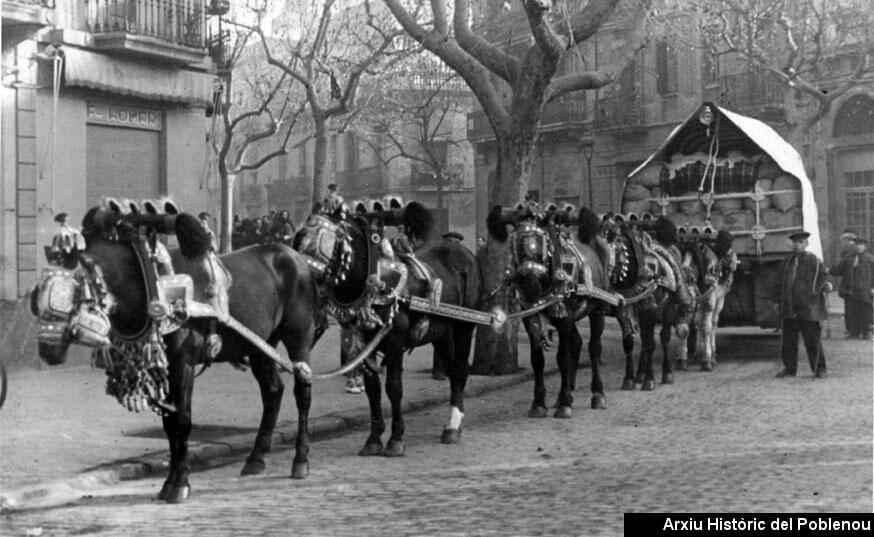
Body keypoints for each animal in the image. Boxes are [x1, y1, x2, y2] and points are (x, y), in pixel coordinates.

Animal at [31, 205, 316, 502]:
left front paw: (180, 484)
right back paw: (255, 458)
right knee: (272, 391)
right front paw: (169, 481)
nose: (47, 351)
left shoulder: (183, 361)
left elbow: (182, 420)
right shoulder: (166, 366)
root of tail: (295, 256)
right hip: (260, 344)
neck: (150, 283)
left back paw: (300, 460)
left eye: (72, 296)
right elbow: (169, 423)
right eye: (36, 297)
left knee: (302, 391)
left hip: (299, 337)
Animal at [296, 201, 480, 456]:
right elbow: (373, 389)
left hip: (464, 326)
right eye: (299, 238)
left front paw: (395, 439)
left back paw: (452, 426)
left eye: (324, 242)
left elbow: (394, 388)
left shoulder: (394, 341)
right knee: (453, 370)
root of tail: (463, 251)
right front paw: (374, 439)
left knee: (461, 370)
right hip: (441, 333)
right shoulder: (362, 342)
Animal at [484, 203, 648, 416]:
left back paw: (598, 393)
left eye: (540, 242)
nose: (530, 286)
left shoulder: (567, 318)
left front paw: (564, 404)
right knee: (578, 343)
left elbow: (563, 357)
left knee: (595, 347)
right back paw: (569, 390)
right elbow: (537, 360)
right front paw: (539, 403)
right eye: (516, 245)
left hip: (598, 309)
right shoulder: (532, 317)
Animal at [676, 229, 736, 372]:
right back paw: (698, 353)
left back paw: (712, 354)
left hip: (720, 299)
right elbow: (685, 328)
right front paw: (682, 360)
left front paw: (707, 361)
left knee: (712, 323)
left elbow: (707, 328)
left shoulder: (710, 298)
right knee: (699, 323)